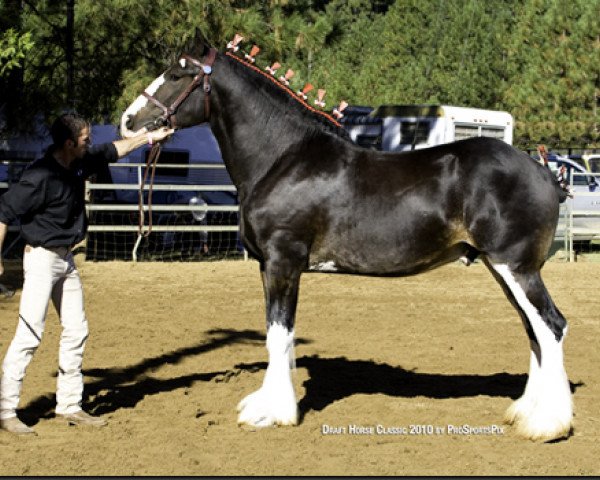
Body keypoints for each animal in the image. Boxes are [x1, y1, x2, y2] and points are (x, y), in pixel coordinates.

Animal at [119, 30, 576, 442]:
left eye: (177, 73)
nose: (128, 121)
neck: (282, 158)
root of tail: (544, 173)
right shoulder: (276, 267)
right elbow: (279, 335)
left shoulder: (282, 262)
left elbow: (277, 334)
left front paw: (274, 413)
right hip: (503, 269)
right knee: (534, 331)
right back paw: (525, 411)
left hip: (516, 267)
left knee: (551, 326)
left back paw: (547, 424)